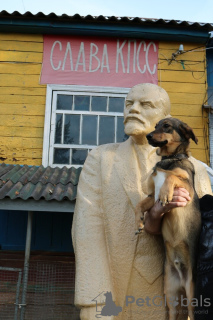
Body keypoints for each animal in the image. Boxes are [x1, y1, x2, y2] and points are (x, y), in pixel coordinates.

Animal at [136, 117, 201, 320]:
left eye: (166, 126)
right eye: (156, 125)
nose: (148, 136)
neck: (168, 160)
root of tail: (180, 272)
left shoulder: (187, 189)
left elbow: (172, 178)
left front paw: (166, 193)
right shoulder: (151, 196)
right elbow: (140, 204)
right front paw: (139, 221)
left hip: (191, 294)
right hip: (171, 295)